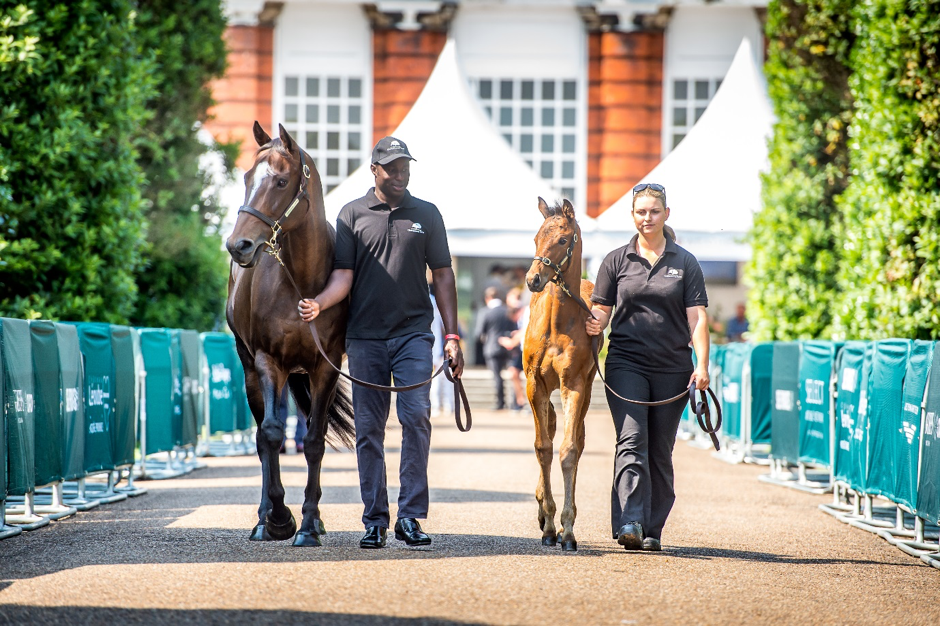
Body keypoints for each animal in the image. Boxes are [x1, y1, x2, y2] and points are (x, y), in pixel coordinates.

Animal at [224, 122, 352, 544]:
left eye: (280, 181)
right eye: (247, 178)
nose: (238, 245)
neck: (303, 282)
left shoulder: (326, 368)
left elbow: (313, 440)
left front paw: (310, 523)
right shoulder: (269, 362)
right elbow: (271, 435)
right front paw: (280, 518)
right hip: (253, 371)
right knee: (265, 436)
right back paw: (264, 518)